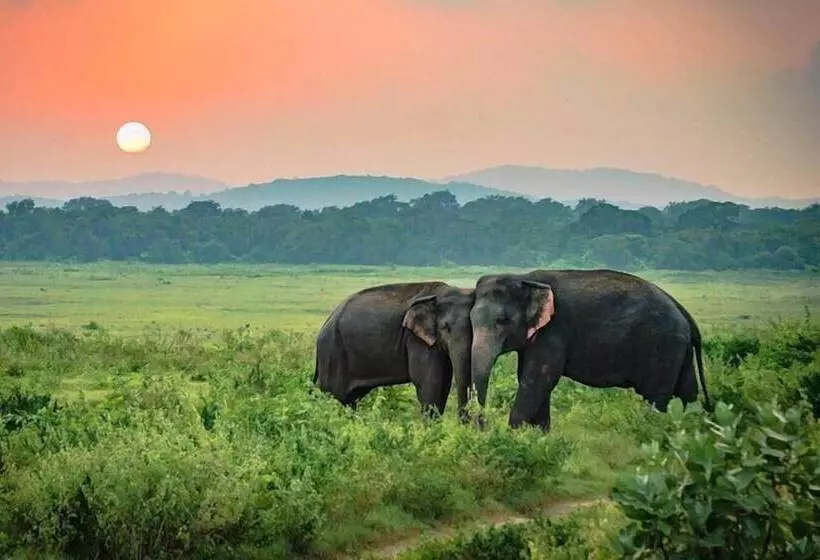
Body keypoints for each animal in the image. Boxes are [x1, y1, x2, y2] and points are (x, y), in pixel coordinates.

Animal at [313, 282, 475, 421]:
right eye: (445, 328)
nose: (464, 423)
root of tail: (326, 323)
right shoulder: (416, 340)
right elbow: (430, 383)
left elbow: (444, 383)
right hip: (332, 354)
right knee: (334, 395)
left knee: (350, 399)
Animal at [469, 269, 713, 431]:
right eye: (470, 320)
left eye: (503, 320)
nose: (483, 425)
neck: (525, 278)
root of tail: (683, 311)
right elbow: (534, 381)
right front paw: (539, 437)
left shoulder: (554, 331)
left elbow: (537, 380)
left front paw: (514, 436)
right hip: (678, 349)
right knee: (687, 392)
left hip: (662, 347)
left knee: (655, 397)